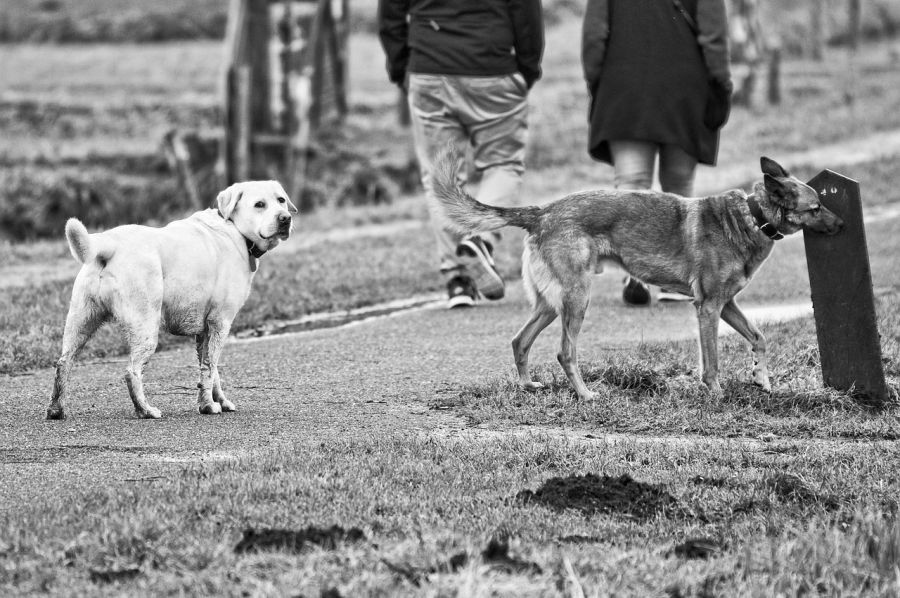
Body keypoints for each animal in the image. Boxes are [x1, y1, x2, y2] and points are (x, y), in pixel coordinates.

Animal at [46, 180, 296, 420]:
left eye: (281, 200)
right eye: (259, 204)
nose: (286, 218)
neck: (234, 229)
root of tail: (109, 246)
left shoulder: (204, 331)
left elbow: (210, 371)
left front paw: (218, 402)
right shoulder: (220, 323)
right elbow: (210, 368)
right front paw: (209, 406)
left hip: (80, 322)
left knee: (63, 363)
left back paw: (56, 410)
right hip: (146, 327)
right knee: (131, 372)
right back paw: (145, 410)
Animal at [432, 149, 840, 404]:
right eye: (816, 207)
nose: (842, 224)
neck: (752, 217)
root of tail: (542, 212)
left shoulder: (727, 305)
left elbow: (759, 338)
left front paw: (761, 378)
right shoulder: (708, 307)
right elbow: (711, 362)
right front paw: (717, 394)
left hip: (551, 303)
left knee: (520, 340)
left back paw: (528, 385)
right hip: (576, 299)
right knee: (565, 352)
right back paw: (584, 395)